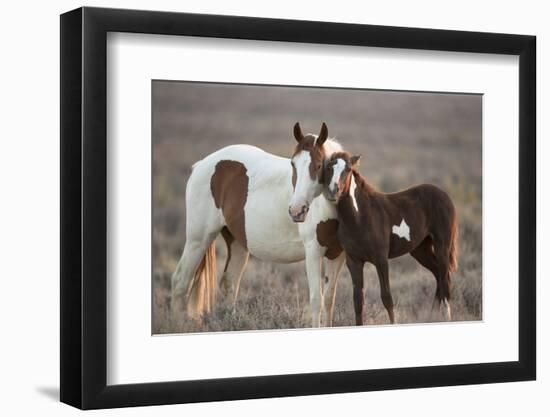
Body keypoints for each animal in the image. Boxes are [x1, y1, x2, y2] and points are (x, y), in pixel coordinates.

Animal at [171, 122, 344, 326]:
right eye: (293, 164)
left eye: (318, 166)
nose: (296, 210)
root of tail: (202, 164)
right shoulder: (313, 252)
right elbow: (317, 300)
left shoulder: (337, 255)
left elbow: (329, 301)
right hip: (197, 240)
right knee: (180, 282)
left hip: (237, 243)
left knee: (229, 284)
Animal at [326, 151, 460, 324]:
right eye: (329, 167)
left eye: (348, 169)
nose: (333, 191)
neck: (360, 217)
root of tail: (444, 195)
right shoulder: (354, 261)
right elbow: (358, 301)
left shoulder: (381, 259)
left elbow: (387, 298)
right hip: (420, 249)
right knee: (438, 275)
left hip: (442, 245)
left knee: (445, 282)